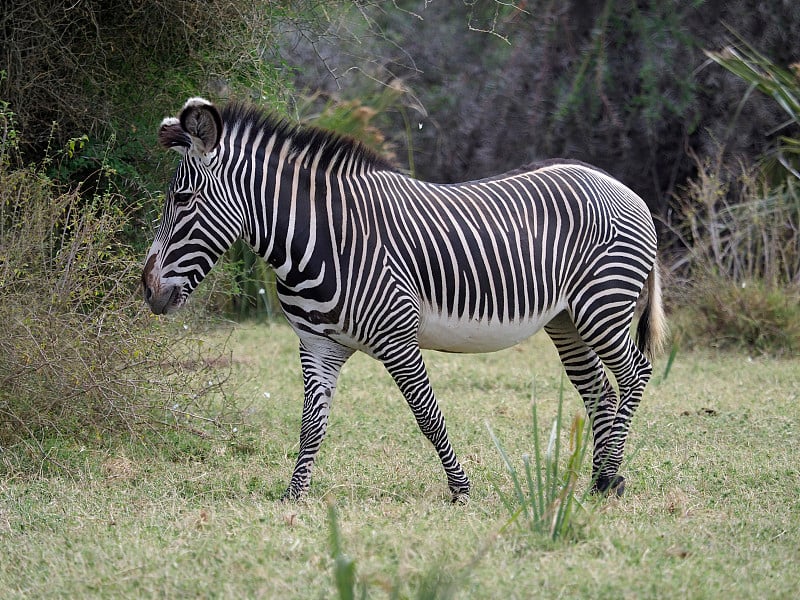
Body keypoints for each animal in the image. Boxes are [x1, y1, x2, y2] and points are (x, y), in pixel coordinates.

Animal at [144, 97, 668, 502]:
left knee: (635, 372)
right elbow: (312, 423)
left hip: (603, 305)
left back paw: (610, 477)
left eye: (183, 199)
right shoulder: (317, 344)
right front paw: (294, 494)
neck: (323, 241)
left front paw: (461, 490)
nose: (147, 290)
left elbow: (428, 417)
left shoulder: (397, 338)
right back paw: (600, 479)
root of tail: (617, 183)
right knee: (599, 390)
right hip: (567, 320)